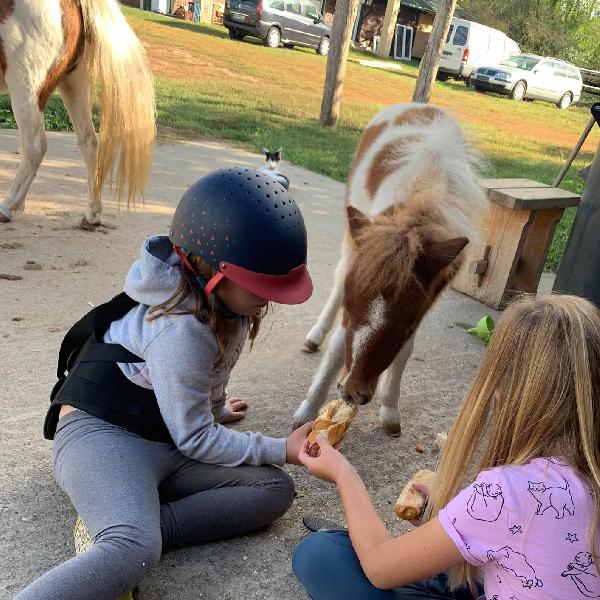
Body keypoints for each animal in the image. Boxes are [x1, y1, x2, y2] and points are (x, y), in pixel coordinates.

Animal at [0, 0, 157, 225]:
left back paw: (8, 206)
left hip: (26, 85)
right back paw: (92, 213)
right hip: (74, 83)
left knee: (34, 147)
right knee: (88, 141)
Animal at [294, 104, 488, 436]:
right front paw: (307, 410)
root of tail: (420, 105)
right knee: (337, 280)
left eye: (405, 326)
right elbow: (338, 345)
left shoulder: (426, 302)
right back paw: (315, 336)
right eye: (350, 309)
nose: (352, 393)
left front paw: (390, 410)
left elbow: (406, 350)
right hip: (352, 239)